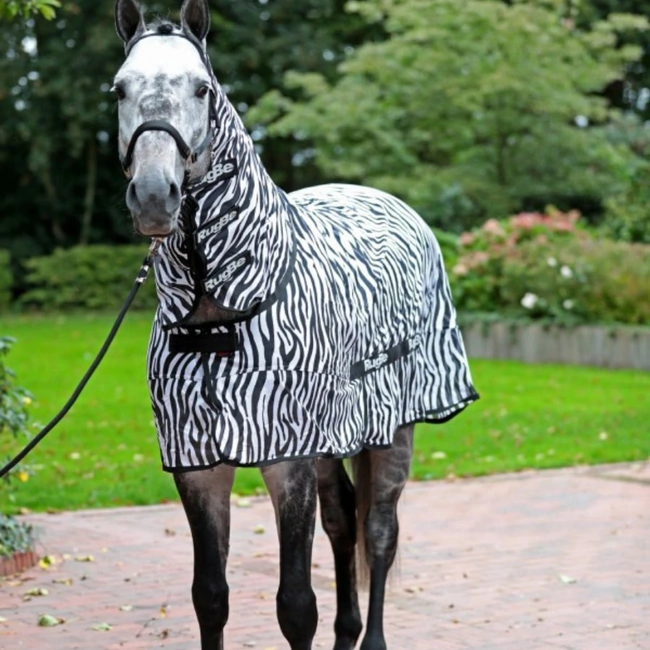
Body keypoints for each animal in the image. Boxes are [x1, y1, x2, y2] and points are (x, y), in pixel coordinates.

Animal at [113, 1, 479, 648]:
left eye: (202, 88)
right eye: (120, 89)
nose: (155, 196)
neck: (223, 316)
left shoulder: (288, 460)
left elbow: (295, 605)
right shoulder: (198, 464)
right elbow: (210, 596)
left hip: (394, 430)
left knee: (378, 531)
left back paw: (372, 635)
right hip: (330, 442)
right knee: (342, 522)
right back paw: (347, 631)